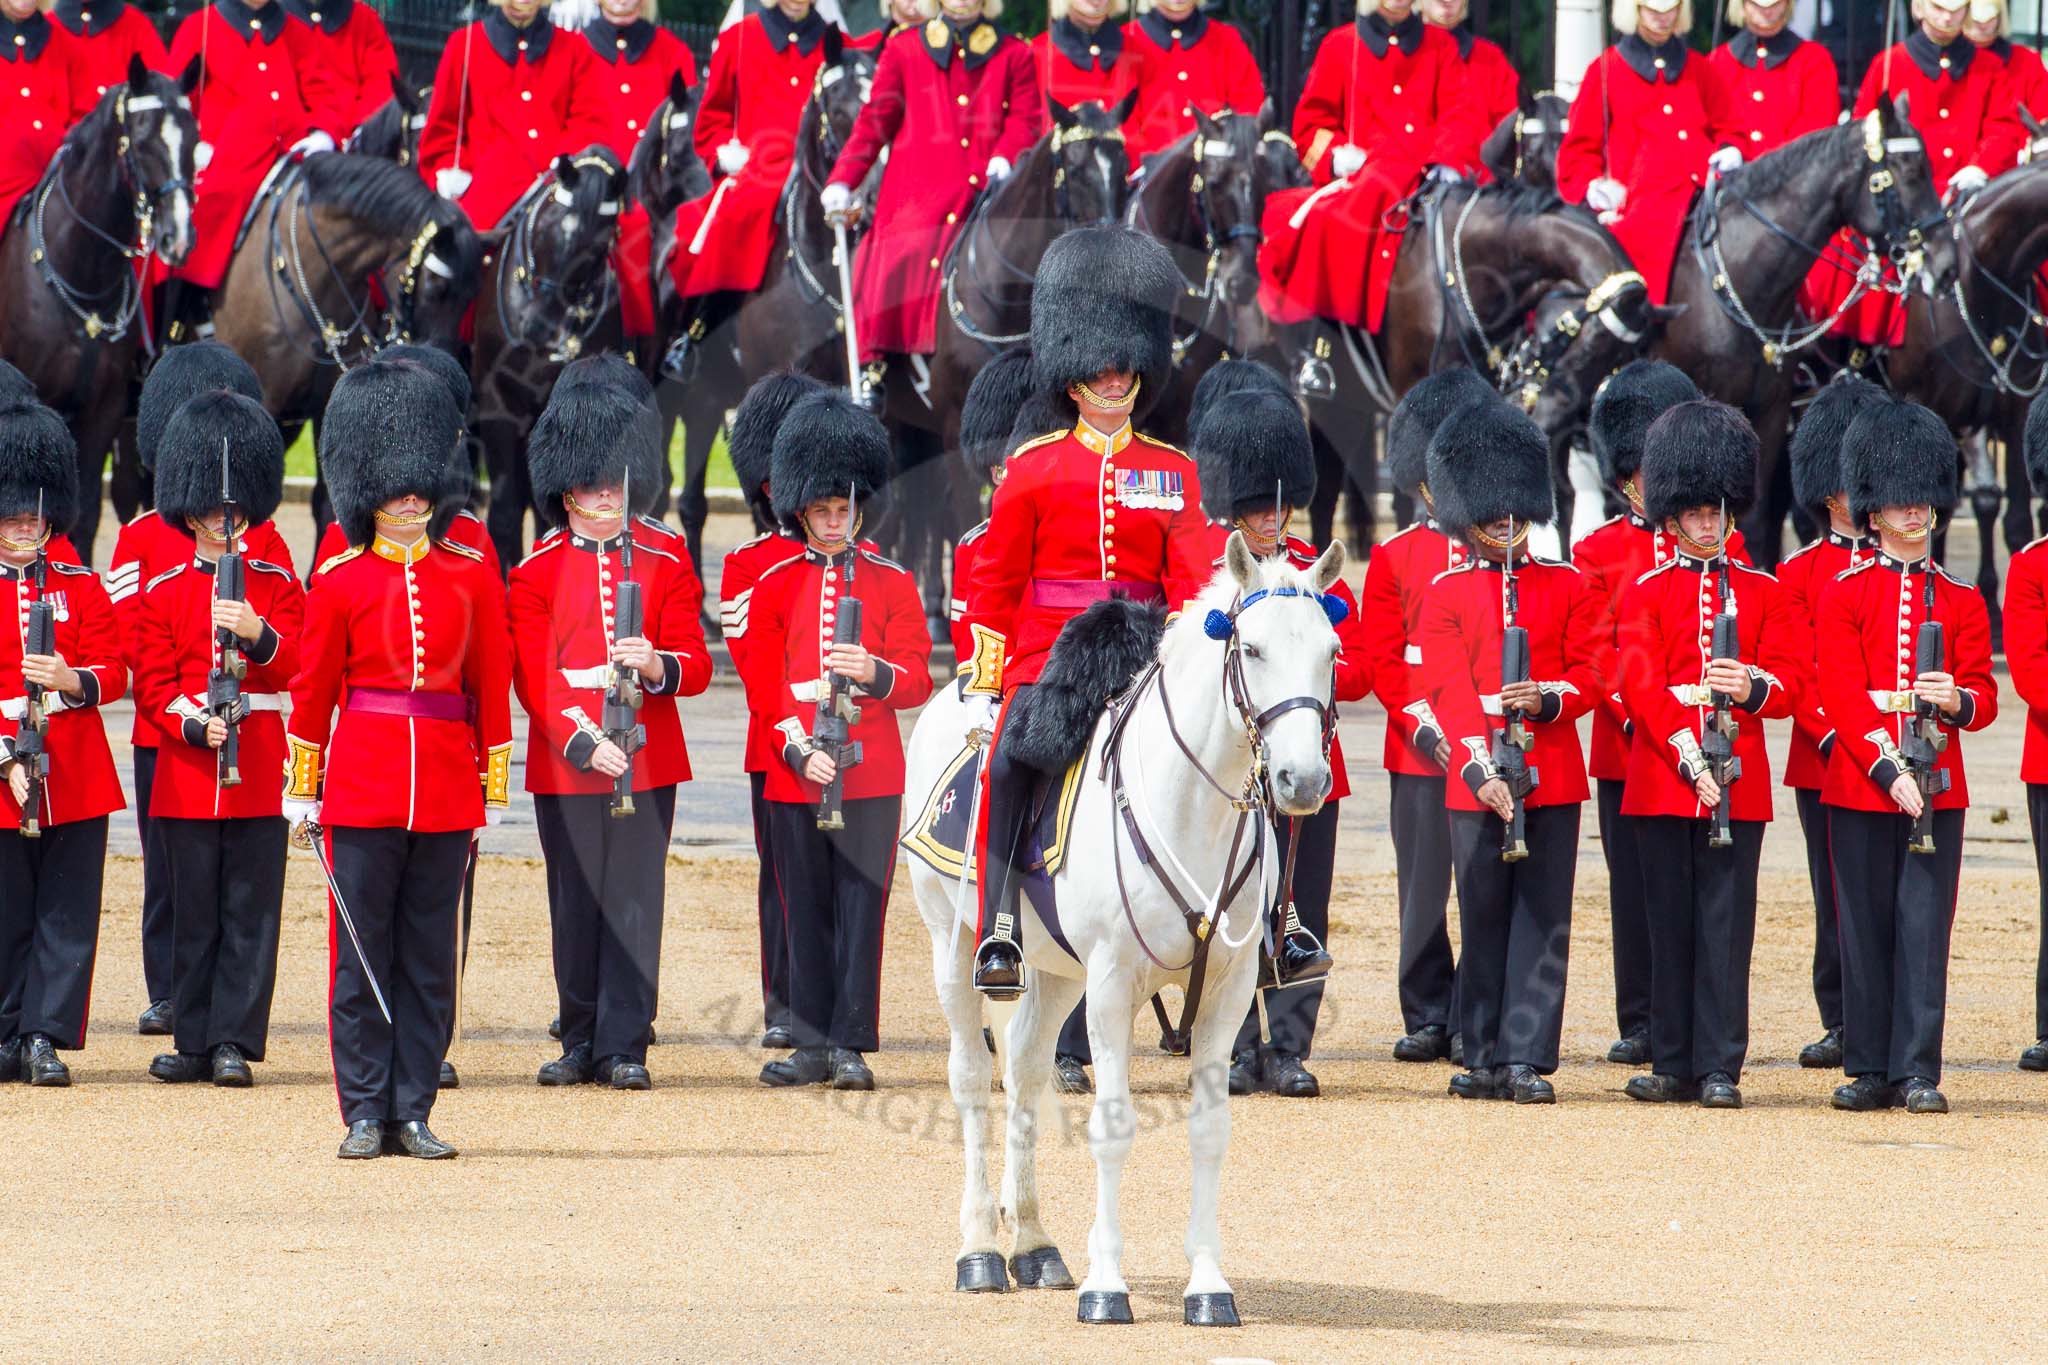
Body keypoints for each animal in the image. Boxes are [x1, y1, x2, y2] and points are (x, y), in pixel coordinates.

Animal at [901, 533, 1342, 1324]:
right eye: (1252, 648)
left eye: (1330, 651)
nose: (1302, 779)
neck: (1191, 805)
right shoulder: (1109, 984)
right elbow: (1112, 1127)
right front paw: (1107, 1284)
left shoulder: (1227, 992)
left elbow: (1210, 1131)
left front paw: (1209, 1284)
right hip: (951, 943)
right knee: (973, 1076)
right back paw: (980, 1249)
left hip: (1055, 971)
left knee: (1025, 1068)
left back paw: (1034, 1244)